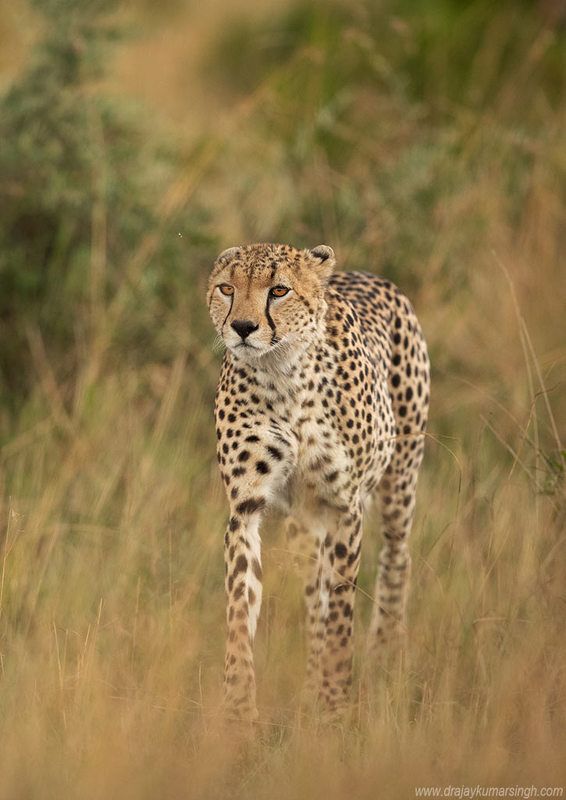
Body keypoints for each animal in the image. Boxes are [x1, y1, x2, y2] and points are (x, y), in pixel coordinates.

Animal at [207, 242, 430, 722]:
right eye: (227, 288)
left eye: (279, 290)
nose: (242, 328)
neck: (283, 372)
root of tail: (365, 273)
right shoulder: (246, 506)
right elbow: (240, 605)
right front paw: (238, 705)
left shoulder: (346, 504)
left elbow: (342, 608)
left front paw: (334, 698)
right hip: (304, 524)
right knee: (313, 592)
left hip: (400, 479)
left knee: (396, 558)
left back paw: (384, 655)